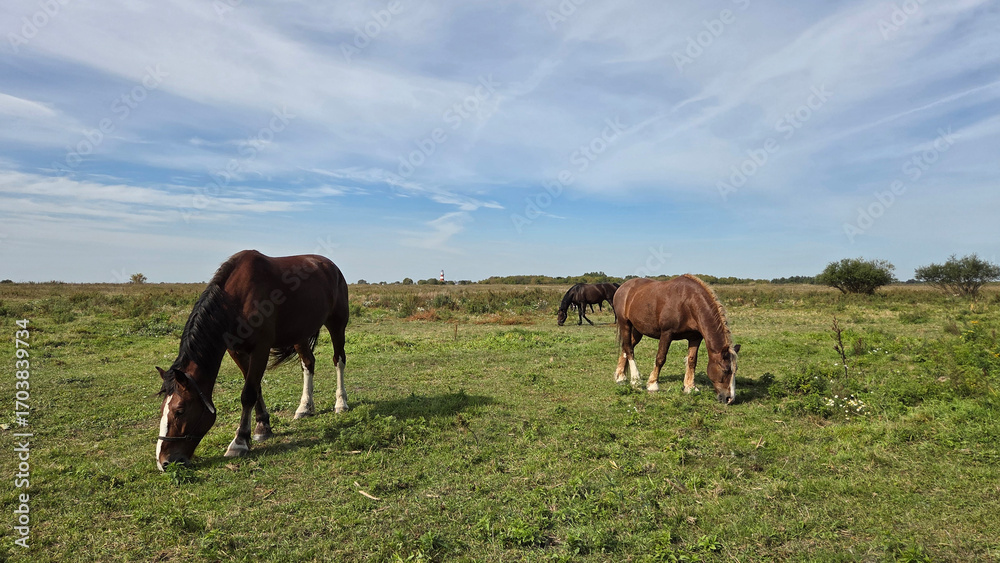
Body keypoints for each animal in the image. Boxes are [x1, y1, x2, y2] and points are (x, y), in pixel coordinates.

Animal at [155, 250, 349, 470]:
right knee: (308, 364)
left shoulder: (260, 350)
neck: (234, 302)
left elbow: (248, 393)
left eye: (180, 411)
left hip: (337, 323)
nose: (164, 462)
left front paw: (239, 441)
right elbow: (256, 388)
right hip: (300, 333)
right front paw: (262, 427)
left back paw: (341, 403)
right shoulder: (237, 351)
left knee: (339, 360)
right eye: (161, 410)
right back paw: (305, 407)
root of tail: (330, 266)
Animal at [613, 275, 740, 404]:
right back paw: (635, 380)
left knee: (626, 347)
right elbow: (660, 358)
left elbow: (692, 360)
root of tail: (623, 287)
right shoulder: (667, 334)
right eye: (725, 370)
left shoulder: (695, 337)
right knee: (629, 349)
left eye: (736, 370)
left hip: (638, 330)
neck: (689, 302)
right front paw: (653, 384)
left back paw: (620, 376)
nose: (730, 398)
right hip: (625, 324)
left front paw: (690, 387)